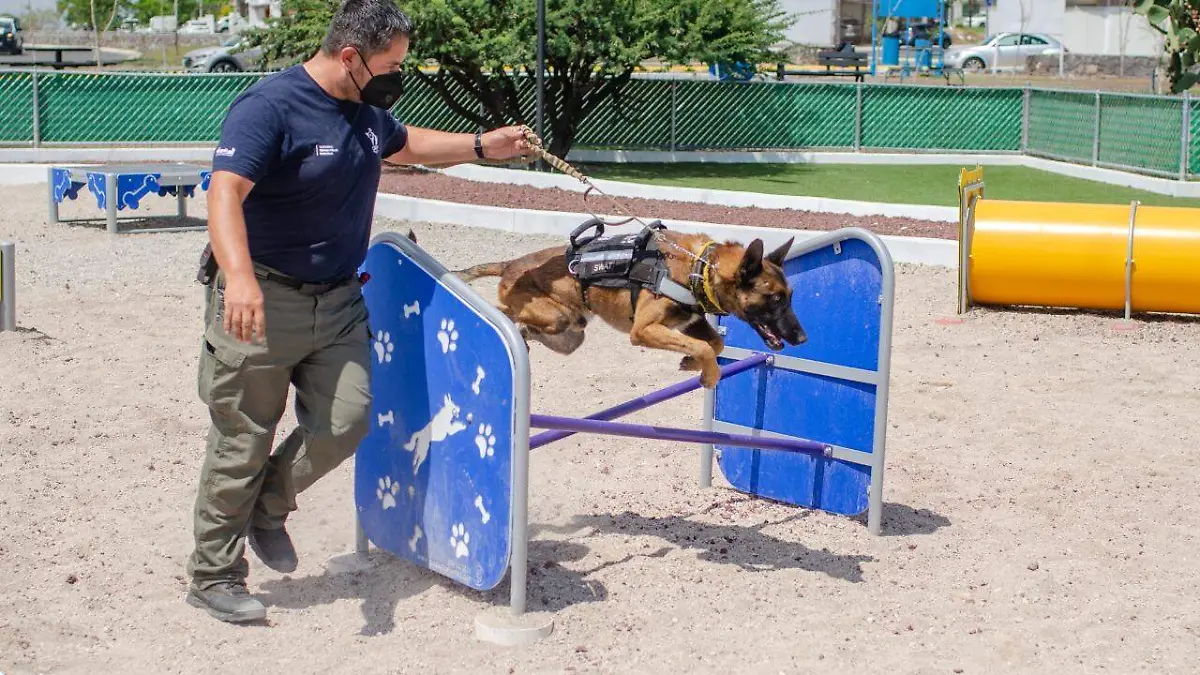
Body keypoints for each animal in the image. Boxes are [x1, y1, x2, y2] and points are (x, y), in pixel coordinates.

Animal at [456, 227, 806, 386]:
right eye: (775, 298)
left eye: (790, 296)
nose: (802, 339)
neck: (700, 268)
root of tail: (511, 265)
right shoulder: (643, 330)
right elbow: (707, 348)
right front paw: (708, 374)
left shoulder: (690, 323)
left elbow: (714, 343)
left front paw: (691, 363)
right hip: (558, 318)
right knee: (506, 311)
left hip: (573, 332)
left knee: (526, 326)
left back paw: (524, 336)